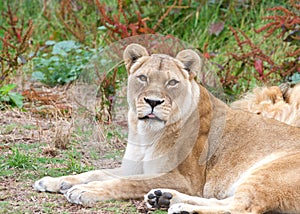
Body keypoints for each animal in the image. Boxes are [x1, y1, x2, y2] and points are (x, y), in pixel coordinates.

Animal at [33, 44, 300, 214]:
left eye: (172, 82)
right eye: (143, 78)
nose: (153, 101)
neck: (146, 134)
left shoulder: (186, 179)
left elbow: (125, 182)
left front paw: (83, 191)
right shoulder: (134, 167)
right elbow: (97, 172)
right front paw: (57, 181)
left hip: (267, 172)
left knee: (243, 207)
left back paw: (182, 209)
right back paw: (164, 199)